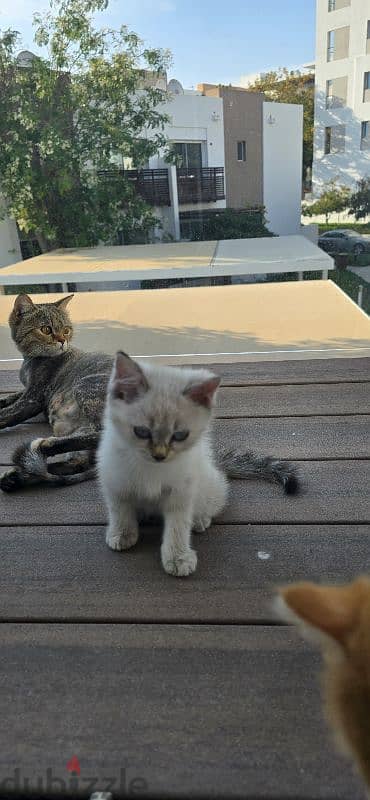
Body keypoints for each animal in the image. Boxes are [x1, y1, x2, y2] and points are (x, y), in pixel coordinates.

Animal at [97, 354, 227, 580]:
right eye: (141, 432)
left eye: (180, 435)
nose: (159, 455)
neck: (152, 469)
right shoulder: (115, 480)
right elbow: (120, 510)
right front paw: (122, 534)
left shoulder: (181, 491)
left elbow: (178, 526)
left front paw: (178, 558)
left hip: (207, 484)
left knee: (210, 504)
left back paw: (200, 519)